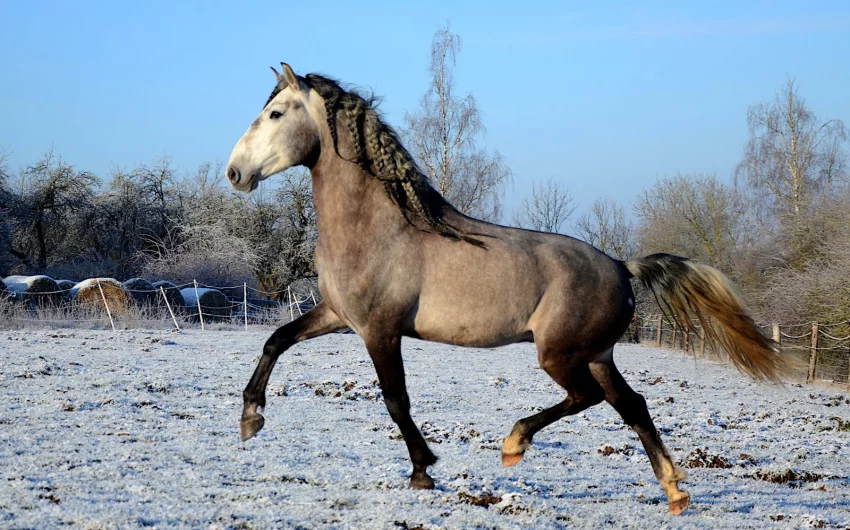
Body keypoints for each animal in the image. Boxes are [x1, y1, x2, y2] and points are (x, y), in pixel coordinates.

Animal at [222, 62, 784, 512]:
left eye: (276, 114)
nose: (234, 173)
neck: (379, 229)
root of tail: (622, 267)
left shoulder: (379, 330)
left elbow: (396, 400)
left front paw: (423, 471)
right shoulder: (339, 317)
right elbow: (276, 340)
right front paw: (251, 418)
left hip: (559, 355)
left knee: (586, 398)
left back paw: (514, 444)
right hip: (599, 354)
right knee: (633, 405)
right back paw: (675, 492)